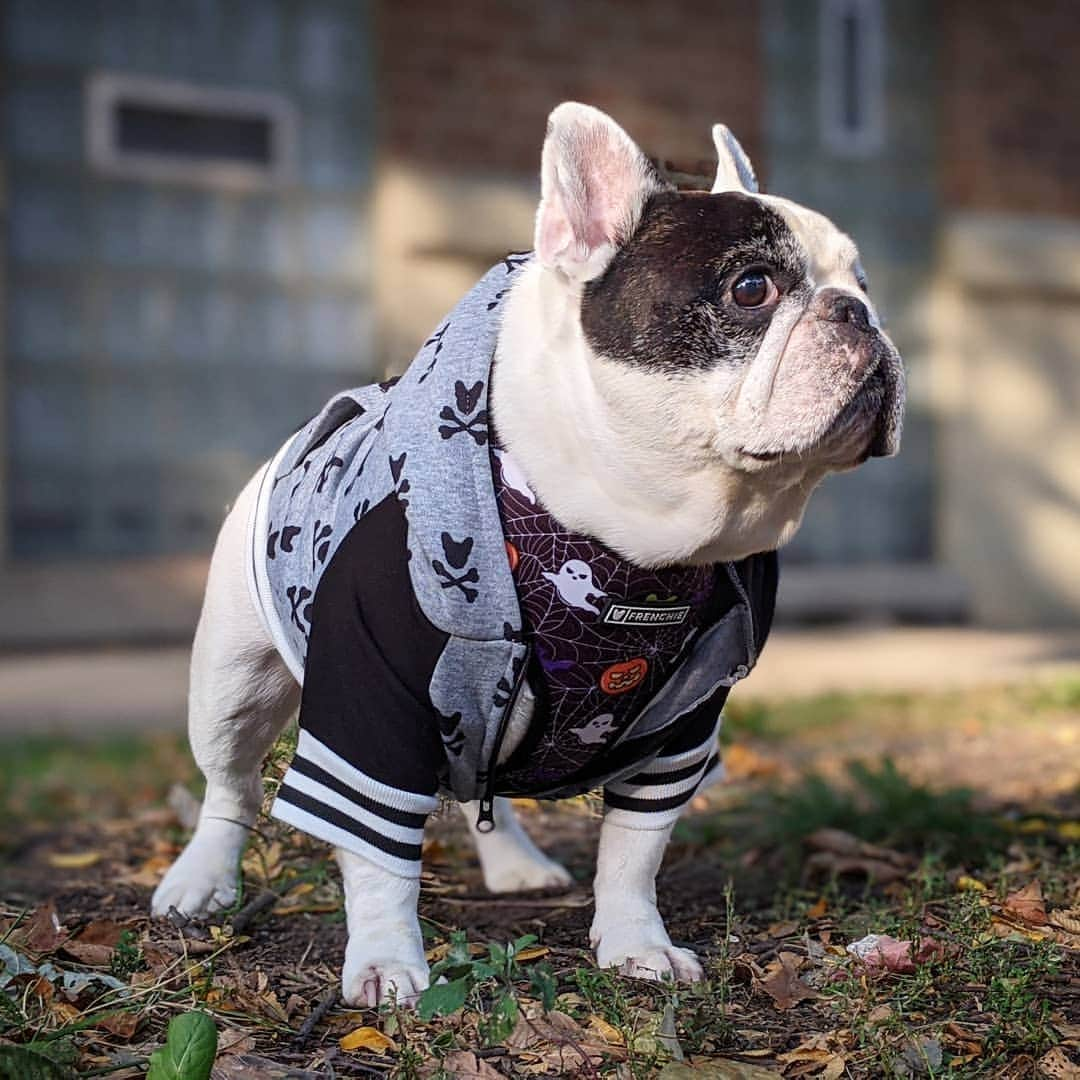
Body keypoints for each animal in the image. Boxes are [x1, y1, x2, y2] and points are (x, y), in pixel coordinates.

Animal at [152, 101, 902, 1002]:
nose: (858, 313)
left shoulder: (679, 729)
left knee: (481, 787)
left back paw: (513, 863)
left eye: (863, 284)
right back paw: (200, 883)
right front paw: (387, 964)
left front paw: (636, 945)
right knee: (228, 788)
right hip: (231, 682)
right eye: (752, 288)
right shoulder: (369, 708)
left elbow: (634, 852)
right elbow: (377, 857)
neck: (629, 541)